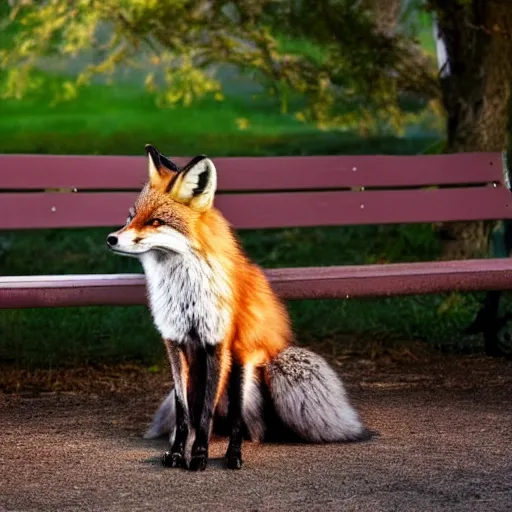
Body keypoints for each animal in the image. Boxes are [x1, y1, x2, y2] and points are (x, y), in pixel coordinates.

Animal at [107, 144, 372, 472]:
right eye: (131, 217)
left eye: (156, 221)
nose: (111, 238)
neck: (186, 295)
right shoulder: (174, 342)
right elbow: (185, 415)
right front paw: (177, 453)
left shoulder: (217, 343)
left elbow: (204, 415)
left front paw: (199, 456)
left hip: (256, 366)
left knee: (239, 423)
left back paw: (234, 454)